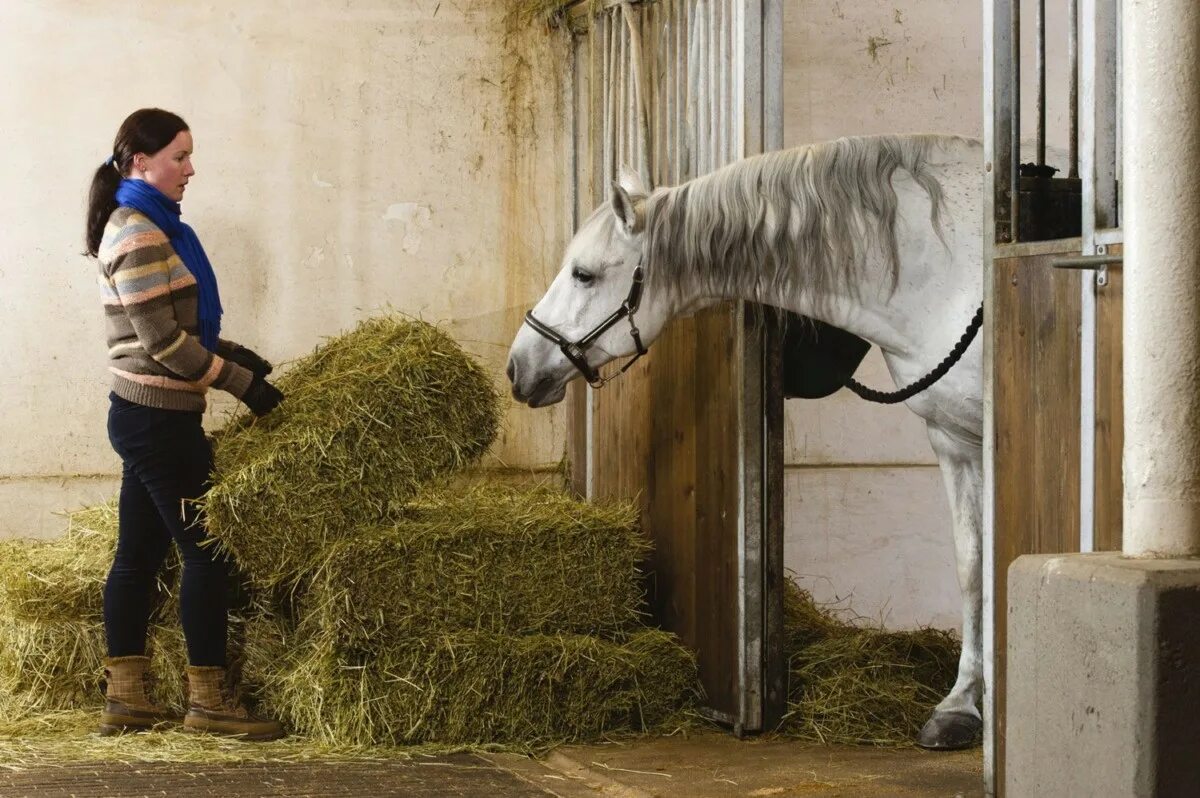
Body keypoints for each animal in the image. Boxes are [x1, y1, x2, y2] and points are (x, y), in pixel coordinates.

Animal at [506, 132, 984, 748]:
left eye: (583, 274)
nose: (518, 367)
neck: (950, 276)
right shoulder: (953, 440)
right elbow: (972, 566)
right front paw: (961, 706)